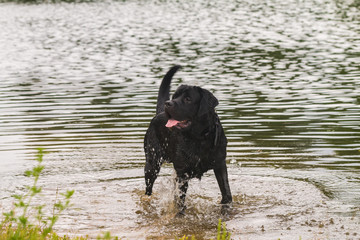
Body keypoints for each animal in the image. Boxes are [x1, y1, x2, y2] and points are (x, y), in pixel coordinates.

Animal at [144, 65, 232, 214]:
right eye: (175, 96)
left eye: (188, 99)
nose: (168, 103)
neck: (199, 138)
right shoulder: (182, 173)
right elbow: (180, 200)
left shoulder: (220, 164)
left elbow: (226, 192)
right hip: (152, 164)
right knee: (148, 189)